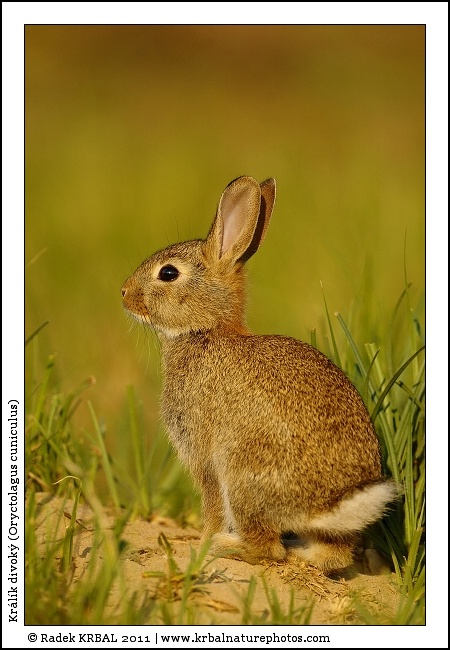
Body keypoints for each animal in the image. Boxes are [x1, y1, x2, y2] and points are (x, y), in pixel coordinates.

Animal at [121, 175, 398, 574]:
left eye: (168, 273)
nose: (124, 293)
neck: (207, 330)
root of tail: (326, 506)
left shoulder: (204, 457)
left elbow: (211, 507)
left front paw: (200, 543)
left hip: (242, 477)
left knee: (267, 549)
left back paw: (227, 547)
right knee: (332, 554)